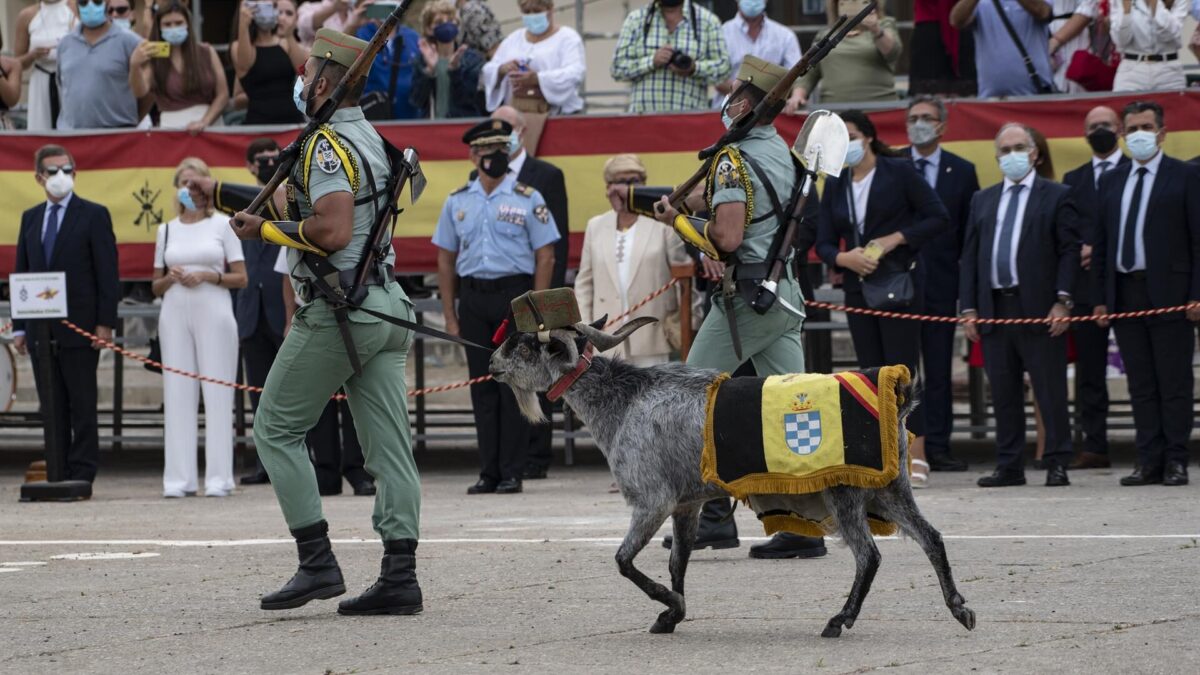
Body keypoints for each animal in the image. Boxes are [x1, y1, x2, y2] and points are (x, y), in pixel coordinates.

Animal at [487, 314, 974, 634]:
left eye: (525, 345)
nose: (491, 363)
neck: (624, 401)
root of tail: (896, 392)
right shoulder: (686, 503)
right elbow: (677, 560)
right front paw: (672, 614)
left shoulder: (651, 499)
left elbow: (624, 560)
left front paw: (668, 603)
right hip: (891, 486)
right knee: (932, 538)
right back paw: (959, 609)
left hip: (845, 490)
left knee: (868, 555)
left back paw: (840, 619)